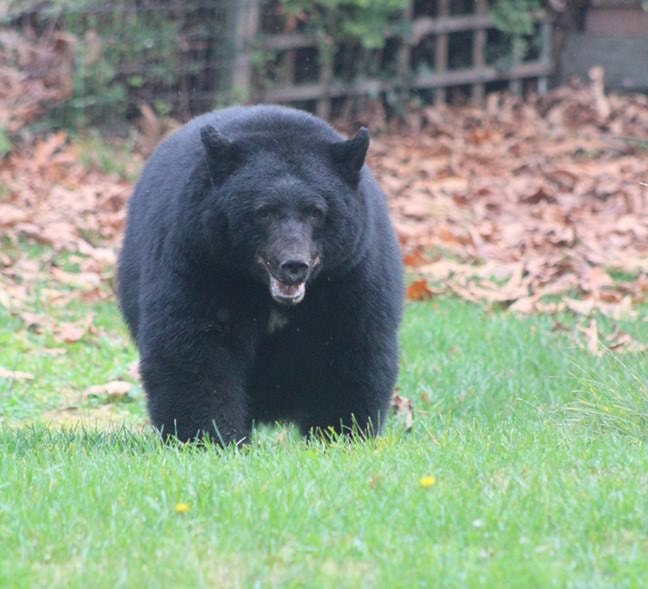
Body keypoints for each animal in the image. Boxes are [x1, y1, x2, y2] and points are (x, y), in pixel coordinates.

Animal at [116, 105, 400, 444]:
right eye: (263, 212)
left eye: (316, 212)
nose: (293, 264)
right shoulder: (198, 258)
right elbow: (193, 345)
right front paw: (211, 437)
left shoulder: (353, 272)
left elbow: (354, 346)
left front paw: (340, 434)